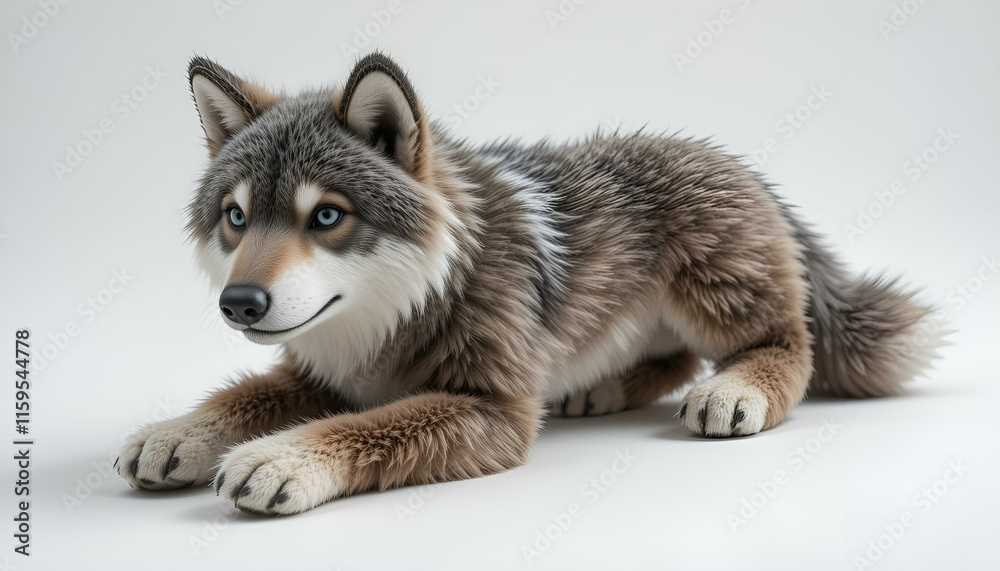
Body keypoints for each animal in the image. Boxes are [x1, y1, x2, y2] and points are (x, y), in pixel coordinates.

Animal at [119, 53, 943, 515]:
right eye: (236, 217)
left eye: (326, 216)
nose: (239, 303)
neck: (407, 301)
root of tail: (735, 162)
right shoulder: (318, 369)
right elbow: (242, 395)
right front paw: (178, 432)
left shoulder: (493, 409)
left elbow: (363, 427)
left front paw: (282, 456)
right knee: (674, 357)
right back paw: (597, 388)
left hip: (713, 292)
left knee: (787, 343)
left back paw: (734, 388)